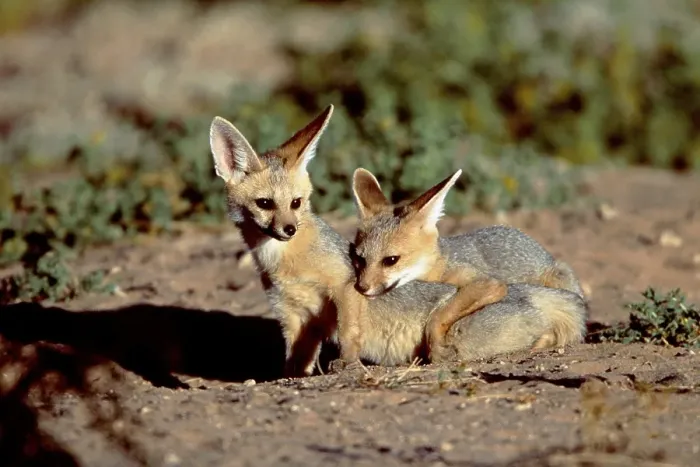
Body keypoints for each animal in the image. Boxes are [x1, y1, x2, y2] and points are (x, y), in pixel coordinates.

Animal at [348, 167, 587, 362]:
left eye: (390, 260)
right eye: (359, 258)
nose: (361, 287)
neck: (438, 267)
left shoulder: (487, 283)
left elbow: (438, 315)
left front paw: (435, 347)